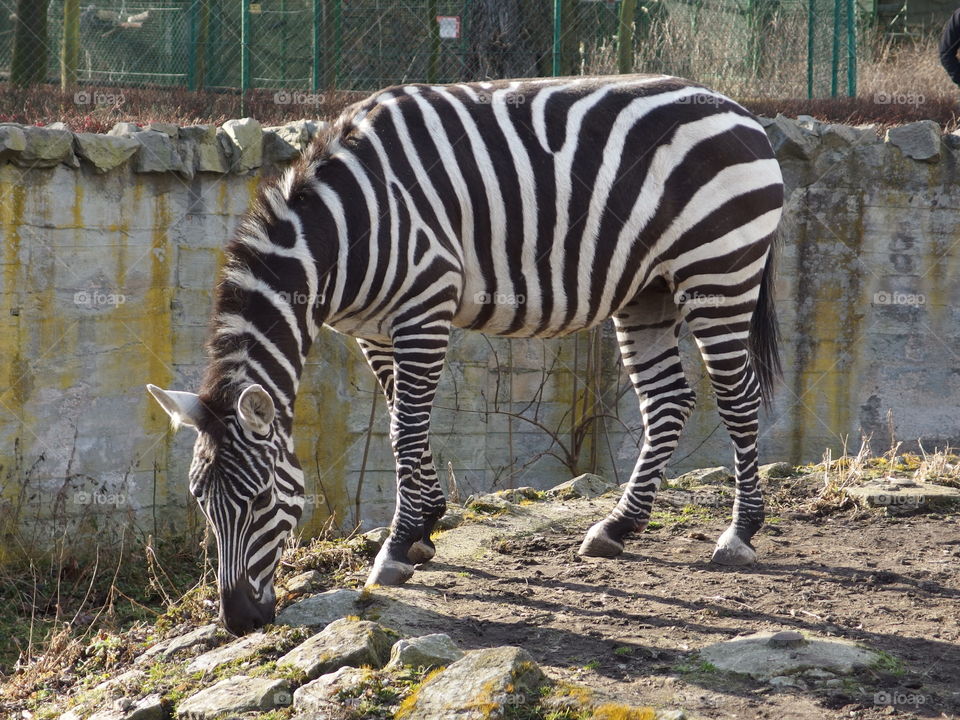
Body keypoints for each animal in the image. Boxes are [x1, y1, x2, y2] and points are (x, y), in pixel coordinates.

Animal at [146, 73, 784, 636]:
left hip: (718, 271)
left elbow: (405, 429)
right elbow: (405, 422)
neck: (343, 231)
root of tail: (742, 112)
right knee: (668, 402)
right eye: (201, 502)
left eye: (258, 501)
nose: (240, 622)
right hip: (648, 290)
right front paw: (426, 526)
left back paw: (740, 533)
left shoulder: (425, 307)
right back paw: (617, 527)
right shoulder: (373, 330)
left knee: (738, 396)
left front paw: (397, 546)